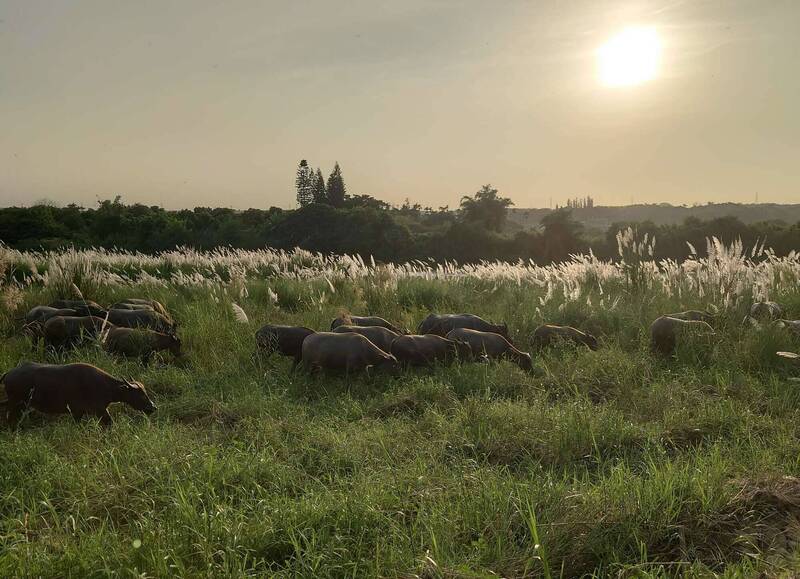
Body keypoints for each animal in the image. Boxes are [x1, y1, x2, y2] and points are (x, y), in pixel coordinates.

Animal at [0, 360, 156, 428]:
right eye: (140, 394)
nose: (153, 407)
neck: (105, 386)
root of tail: (9, 373)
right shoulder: (88, 411)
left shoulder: (92, 411)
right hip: (16, 402)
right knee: (9, 415)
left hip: (20, 404)